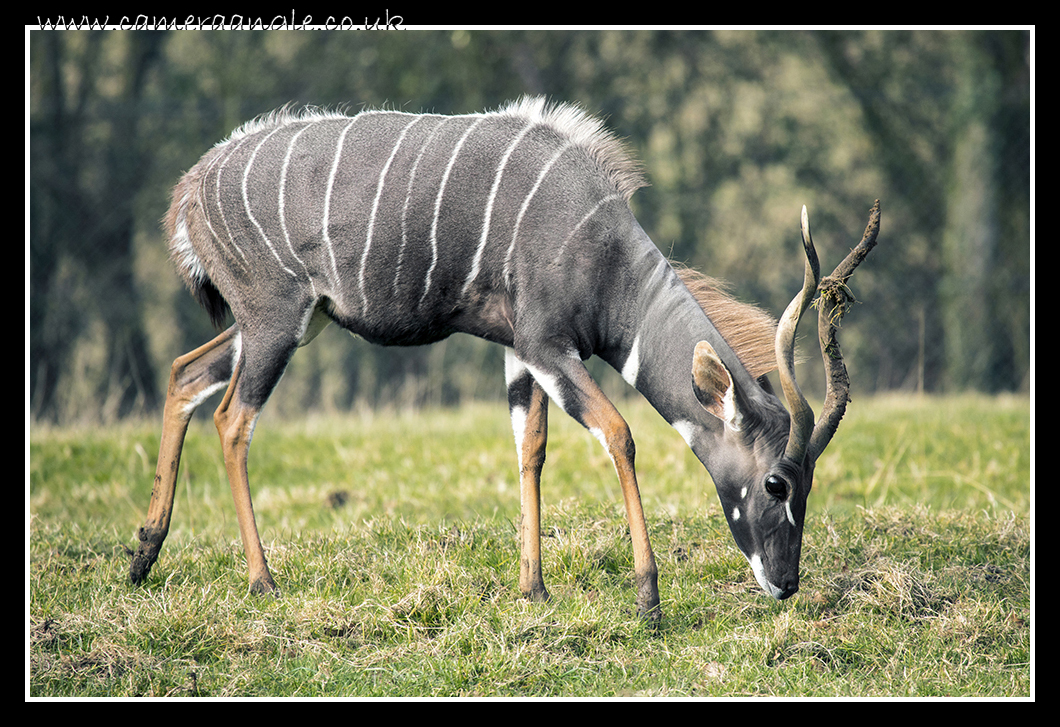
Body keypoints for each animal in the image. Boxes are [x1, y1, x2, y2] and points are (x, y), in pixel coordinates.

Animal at [130, 96, 877, 618]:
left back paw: (143, 553)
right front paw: (648, 597)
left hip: (288, 323)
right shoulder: (548, 342)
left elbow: (532, 446)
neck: (602, 247)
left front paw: (533, 588)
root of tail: (190, 188)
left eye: (810, 483)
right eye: (777, 483)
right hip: (274, 323)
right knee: (232, 418)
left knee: (185, 375)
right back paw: (262, 580)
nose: (786, 582)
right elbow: (620, 433)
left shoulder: (524, 353)